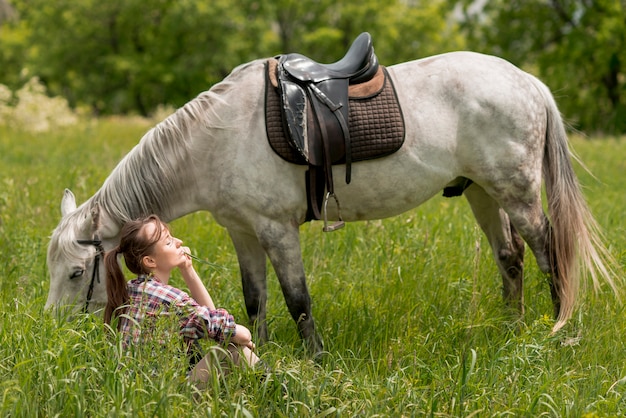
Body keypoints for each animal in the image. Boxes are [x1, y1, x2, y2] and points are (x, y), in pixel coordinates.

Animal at [45, 39, 616, 354]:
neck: (217, 138)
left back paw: (557, 328)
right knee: (509, 257)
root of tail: (526, 81)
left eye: (76, 273)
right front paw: (261, 352)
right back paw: (510, 330)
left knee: (548, 251)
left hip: (516, 193)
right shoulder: (242, 231)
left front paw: (315, 359)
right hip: (481, 193)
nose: (54, 333)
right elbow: (255, 298)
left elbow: (297, 299)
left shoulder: (276, 230)